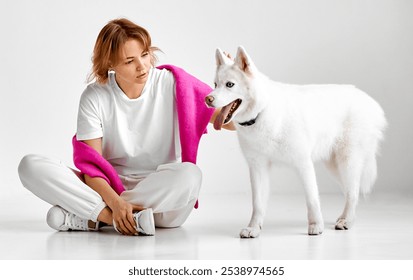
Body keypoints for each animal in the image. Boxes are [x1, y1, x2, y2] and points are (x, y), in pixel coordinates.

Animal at [206, 46, 386, 238]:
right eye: (215, 84)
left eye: (229, 85)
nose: (207, 99)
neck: (262, 111)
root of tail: (368, 100)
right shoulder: (257, 167)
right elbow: (258, 203)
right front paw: (254, 228)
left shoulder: (303, 163)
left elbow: (312, 198)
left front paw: (316, 225)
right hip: (335, 166)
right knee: (351, 190)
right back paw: (345, 218)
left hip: (347, 161)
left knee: (353, 192)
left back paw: (347, 220)